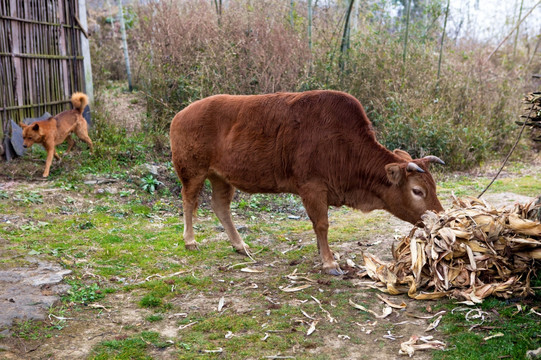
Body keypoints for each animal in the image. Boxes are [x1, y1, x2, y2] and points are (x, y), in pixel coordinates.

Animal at [170, 89, 442, 272]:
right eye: (417, 191)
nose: (439, 217)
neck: (344, 146)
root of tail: (180, 115)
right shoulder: (312, 188)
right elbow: (321, 224)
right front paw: (329, 263)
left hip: (221, 177)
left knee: (220, 206)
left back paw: (240, 245)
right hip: (193, 172)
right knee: (189, 201)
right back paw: (190, 241)